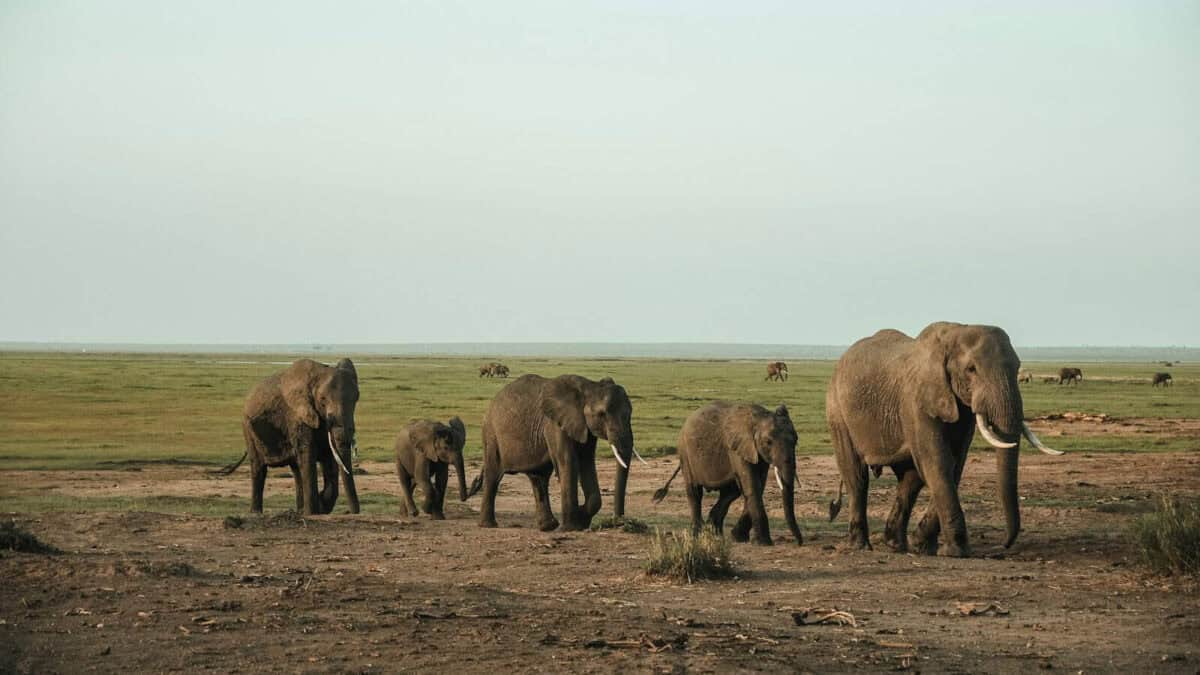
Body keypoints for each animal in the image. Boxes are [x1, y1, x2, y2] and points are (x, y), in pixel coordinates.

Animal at [217, 358, 361, 515]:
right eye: (322, 400)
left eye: (356, 399)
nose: (355, 512)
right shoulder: (296, 416)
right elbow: (308, 456)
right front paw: (313, 512)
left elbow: (329, 457)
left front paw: (320, 505)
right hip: (248, 429)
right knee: (259, 468)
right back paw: (256, 513)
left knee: (296, 469)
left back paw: (299, 510)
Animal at [469, 374, 643, 531]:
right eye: (602, 414)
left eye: (630, 412)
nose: (619, 522)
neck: (589, 386)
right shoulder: (554, 424)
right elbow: (568, 461)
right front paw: (571, 527)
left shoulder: (584, 426)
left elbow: (587, 461)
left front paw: (581, 520)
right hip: (491, 434)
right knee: (493, 476)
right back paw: (488, 525)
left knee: (538, 477)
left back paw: (548, 527)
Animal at [653, 402, 802, 546]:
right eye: (768, 442)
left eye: (796, 440)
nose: (799, 543)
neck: (758, 419)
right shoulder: (737, 449)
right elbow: (752, 487)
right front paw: (764, 543)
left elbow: (758, 486)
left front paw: (739, 538)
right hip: (685, 453)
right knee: (694, 491)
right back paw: (698, 535)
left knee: (730, 493)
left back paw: (713, 533)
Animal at [825, 323, 1062, 557]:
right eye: (971, 369)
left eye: (1017, 367)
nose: (1003, 545)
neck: (955, 333)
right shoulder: (917, 401)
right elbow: (938, 463)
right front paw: (957, 551)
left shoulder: (961, 409)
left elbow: (954, 465)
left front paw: (923, 546)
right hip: (837, 410)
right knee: (857, 477)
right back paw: (860, 546)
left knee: (909, 480)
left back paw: (896, 545)